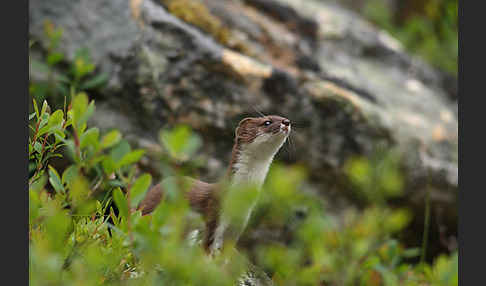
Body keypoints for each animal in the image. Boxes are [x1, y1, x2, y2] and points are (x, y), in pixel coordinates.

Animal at [137, 115, 290, 255]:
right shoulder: (215, 213)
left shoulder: (239, 224)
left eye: (281, 116)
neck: (240, 199)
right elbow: (208, 246)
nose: (287, 121)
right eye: (267, 122)